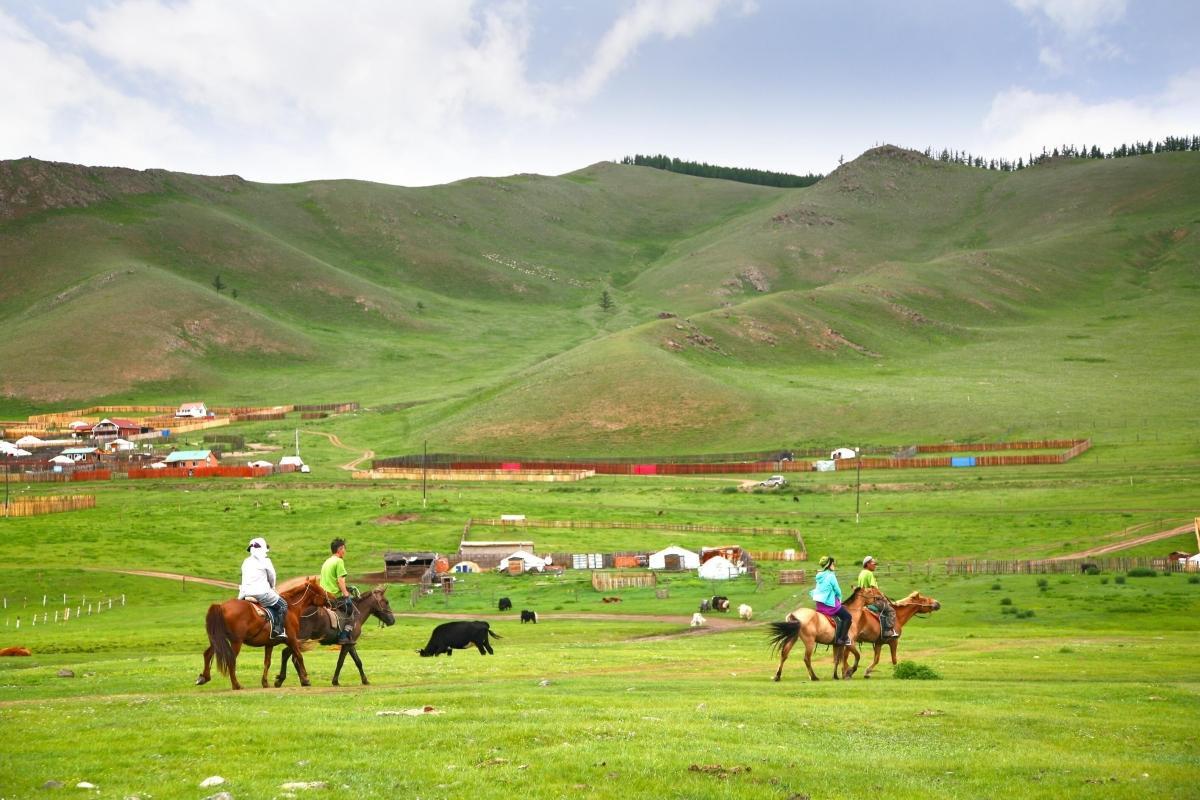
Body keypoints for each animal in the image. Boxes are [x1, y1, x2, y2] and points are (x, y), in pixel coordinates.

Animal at [196, 575, 328, 690]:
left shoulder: (269, 644)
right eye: (321, 589)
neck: (291, 608)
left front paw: (265, 682)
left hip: (218, 640)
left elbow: (267, 662)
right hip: (236, 642)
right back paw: (236, 685)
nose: (331, 599)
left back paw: (204, 677)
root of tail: (221, 606)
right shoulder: (291, 640)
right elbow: (299, 656)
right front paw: (305, 679)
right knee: (230, 660)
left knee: (207, 654)